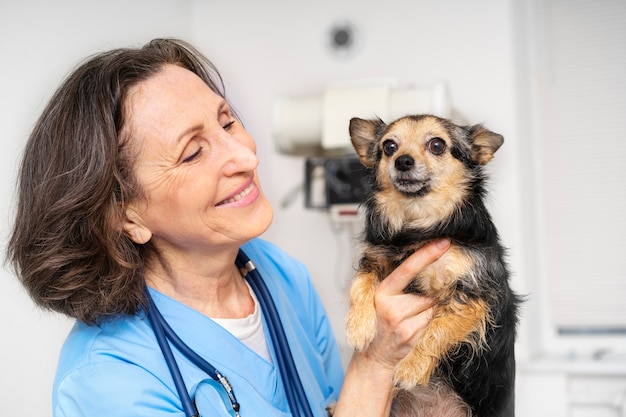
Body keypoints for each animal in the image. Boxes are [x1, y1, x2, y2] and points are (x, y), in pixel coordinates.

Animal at [344, 114, 520, 416]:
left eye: (437, 145)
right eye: (389, 146)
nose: (402, 160)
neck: (418, 228)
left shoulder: (472, 293)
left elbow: (436, 331)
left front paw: (412, 367)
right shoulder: (375, 259)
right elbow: (359, 285)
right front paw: (358, 327)